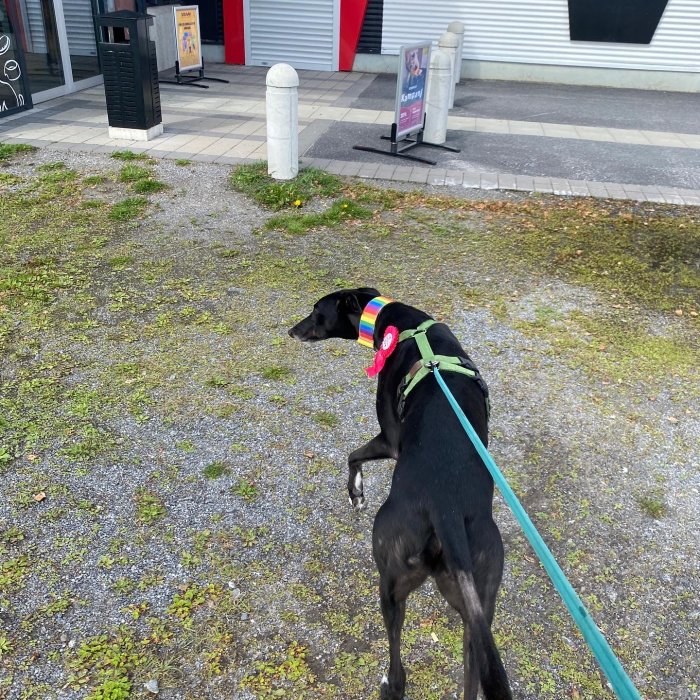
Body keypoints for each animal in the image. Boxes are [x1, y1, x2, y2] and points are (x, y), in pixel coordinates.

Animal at [288, 288, 512, 696]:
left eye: (316, 311)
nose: (292, 330)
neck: (404, 324)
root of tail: (447, 513)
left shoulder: (391, 440)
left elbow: (353, 455)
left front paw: (356, 493)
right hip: (479, 608)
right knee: (472, 677)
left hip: (390, 579)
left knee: (396, 655)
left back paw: (390, 684)